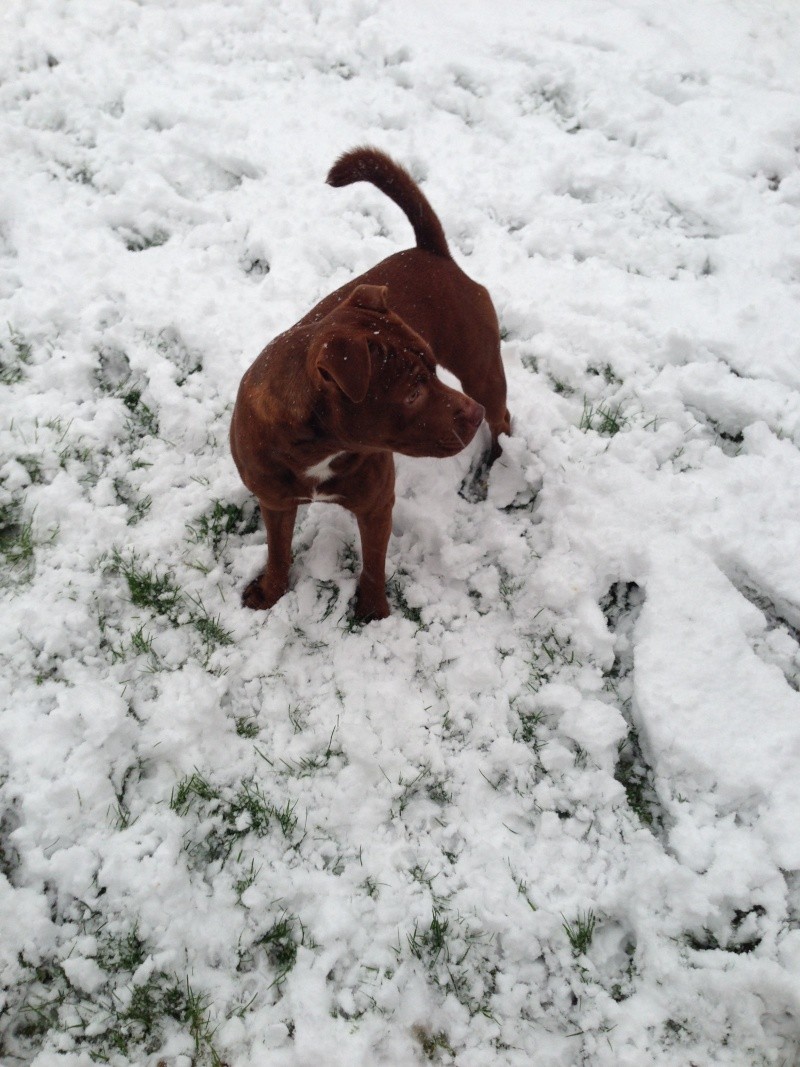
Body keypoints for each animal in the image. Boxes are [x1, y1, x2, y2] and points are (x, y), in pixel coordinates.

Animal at [228, 146, 509, 623]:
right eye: (412, 391)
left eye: (432, 371)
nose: (473, 415)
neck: (317, 445)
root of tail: (432, 251)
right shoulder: (275, 501)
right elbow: (278, 551)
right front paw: (270, 592)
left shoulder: (376, 504)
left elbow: (374, 562)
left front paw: (374, 611)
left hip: (481, 368)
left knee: (504, 418)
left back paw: (496, 468)